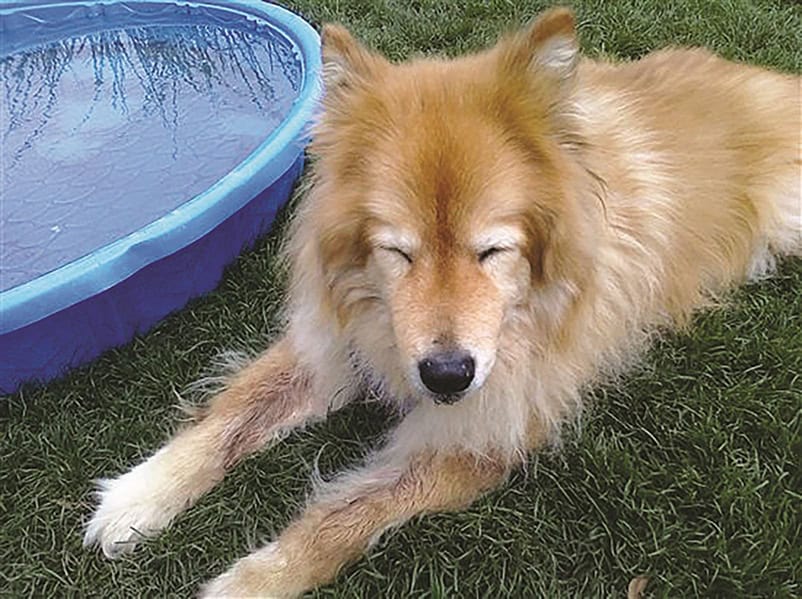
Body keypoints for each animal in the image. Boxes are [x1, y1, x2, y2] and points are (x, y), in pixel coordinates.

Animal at [84, 7, 796, 596]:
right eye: (399, 252)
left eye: (493, 251)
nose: (447, 375)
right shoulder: (338, 341)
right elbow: (231, 416)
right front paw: (139, 496)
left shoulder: (485, 430)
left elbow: (347, 515)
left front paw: (251, 582)